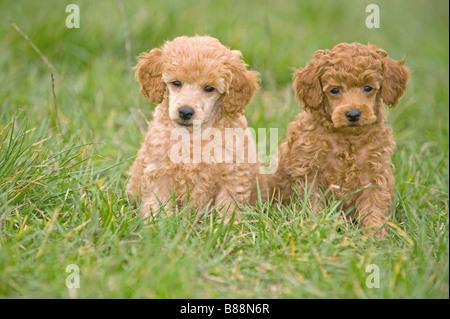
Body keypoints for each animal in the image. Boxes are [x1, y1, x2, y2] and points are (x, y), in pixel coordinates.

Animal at [125, 35, 260, 220]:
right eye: (176, 83)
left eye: (209, 88)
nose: (185, 112)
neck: (193, 135)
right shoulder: (159, 170)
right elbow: (157, 201)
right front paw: (156, 223)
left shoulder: (232, 174)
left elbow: (228, 206)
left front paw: (227, 225)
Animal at [268, 42, 410, 238]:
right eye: (334, 90)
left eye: (368, 88)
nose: (353, 114)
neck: (348, 139)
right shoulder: (309, 172)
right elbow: (313, 204)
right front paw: (315, 228)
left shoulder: (374, 174)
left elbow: (373, 207)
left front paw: (376, 237)